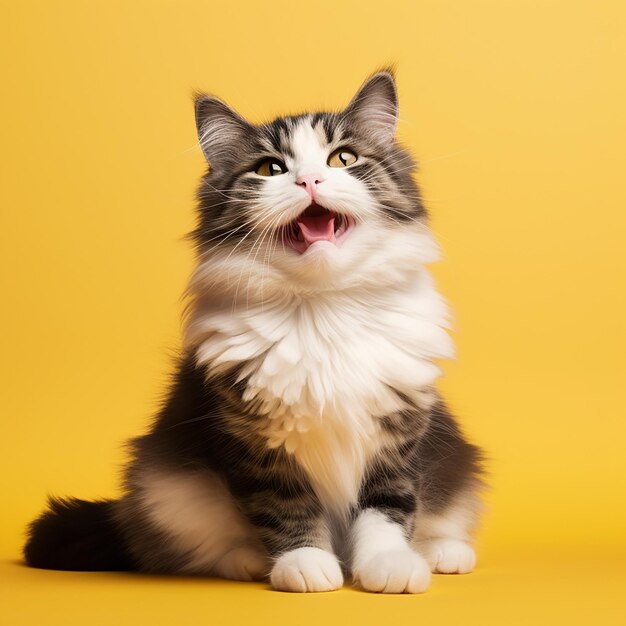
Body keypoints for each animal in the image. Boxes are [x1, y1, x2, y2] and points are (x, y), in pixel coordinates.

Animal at [23, 70, 482, 592]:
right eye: (270, 168)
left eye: (343, 158)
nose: (310, 179)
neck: (323, 306)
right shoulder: (254, 442)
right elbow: (286, 507)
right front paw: (305, 564)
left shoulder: (399, 433)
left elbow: (388, 505)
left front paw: (389, 564)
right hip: (169, 488)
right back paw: (246, 561)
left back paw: (443, 552)